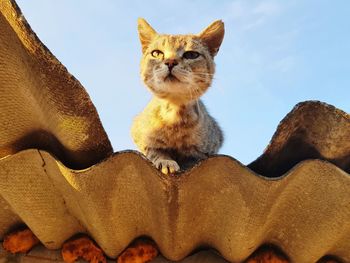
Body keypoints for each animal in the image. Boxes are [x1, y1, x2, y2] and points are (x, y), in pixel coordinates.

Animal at [131, 18, 224, 175]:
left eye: (191, 55)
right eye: (156, 53)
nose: (170, 62)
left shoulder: (212, 143)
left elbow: (193, 158)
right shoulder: (138, 133)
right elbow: (154, 150)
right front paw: (165, 161)